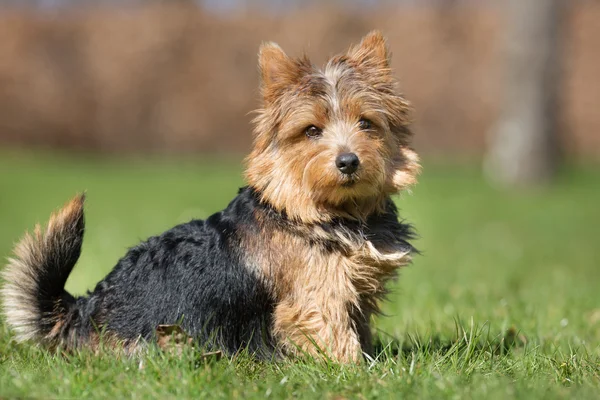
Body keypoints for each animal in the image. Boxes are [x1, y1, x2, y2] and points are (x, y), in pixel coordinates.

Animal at [2, 31, 420, 362]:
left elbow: (359, 330)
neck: (319, 210)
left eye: (366, 123)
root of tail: (83, 310)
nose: (348, 161)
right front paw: (358, 374)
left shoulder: (356, 291)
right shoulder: (316, 297)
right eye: (312, 130)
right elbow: (337, 340)